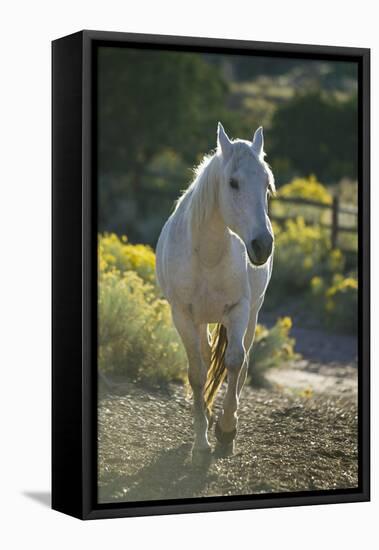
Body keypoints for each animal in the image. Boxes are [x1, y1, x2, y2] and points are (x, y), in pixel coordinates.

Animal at [156, 123, 274, 464]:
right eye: (233, 183)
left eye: (267, 185)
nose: (262, 245)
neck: (207, 255)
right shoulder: (182, 315)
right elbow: (197, 373)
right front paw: (201, 443)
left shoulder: (238, 309)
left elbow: (234, 361)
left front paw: (226, 432)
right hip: (200, 320)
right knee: (207, 356)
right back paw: (206, 417)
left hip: (252, 313)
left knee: (242, 363)